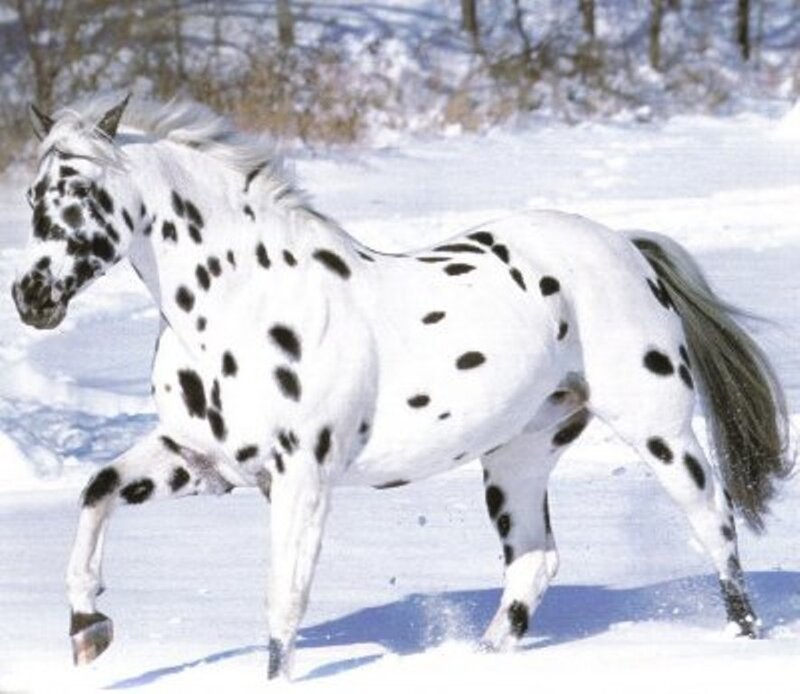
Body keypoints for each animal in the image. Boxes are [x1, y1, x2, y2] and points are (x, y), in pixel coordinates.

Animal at [12, 94, 791, 680]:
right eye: (34, 196)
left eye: (83, 192)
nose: (31, 297)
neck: (239, 301)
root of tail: (627, 248)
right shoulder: (199, 462)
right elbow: (97, 492)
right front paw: (88, 628)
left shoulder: (301, 479)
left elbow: (283, 604)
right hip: (517, 458)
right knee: (535, 563)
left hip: (660, 431)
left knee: (715, 527)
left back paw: (741, 643)